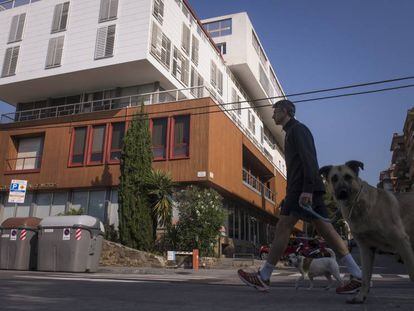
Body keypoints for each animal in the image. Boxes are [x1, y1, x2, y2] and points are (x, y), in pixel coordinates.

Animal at [318, 161, 412, 304]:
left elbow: (412, 272)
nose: (342, 192)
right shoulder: (366, 248)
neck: (357, 205)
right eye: (334, 178)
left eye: (348, 177)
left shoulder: (402, 241)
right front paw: (360, 296)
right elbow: (366, 277)